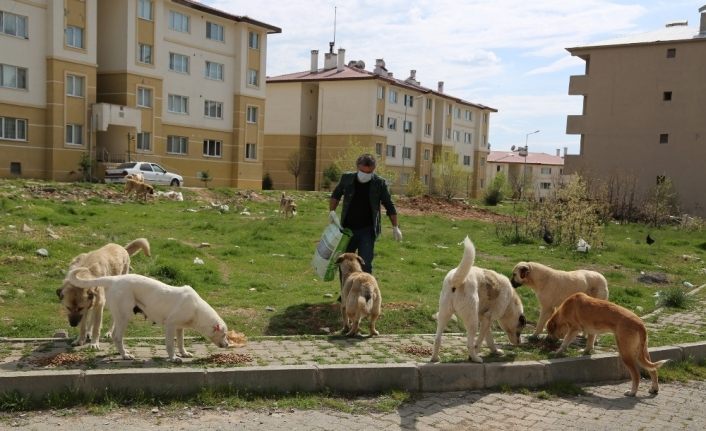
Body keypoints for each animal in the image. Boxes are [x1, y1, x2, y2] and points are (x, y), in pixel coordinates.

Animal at [66, 268, 228, 362]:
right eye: (224, 334)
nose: (228, 345)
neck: (197, 310)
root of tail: (115, 279)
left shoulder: (179, 328)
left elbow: (181, 342)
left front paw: (184, 353)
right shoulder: (170, 325)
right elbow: (170, 344)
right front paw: (173, 357)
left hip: (120, 316)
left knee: (114, 336)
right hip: (124, 316)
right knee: (117, 337)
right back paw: (125, 355)